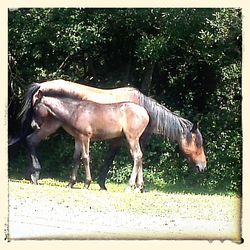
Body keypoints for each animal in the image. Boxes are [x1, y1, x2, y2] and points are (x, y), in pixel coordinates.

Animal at [11, 79, 206, 190]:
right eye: (198, 143)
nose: (202, 167)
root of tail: (41, 85)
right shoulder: (119, 139)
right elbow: (110, 158)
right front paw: (102, 184)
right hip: (48, 126)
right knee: (31, 141)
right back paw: (34, 174)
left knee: (30, 141)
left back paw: (32, 175)